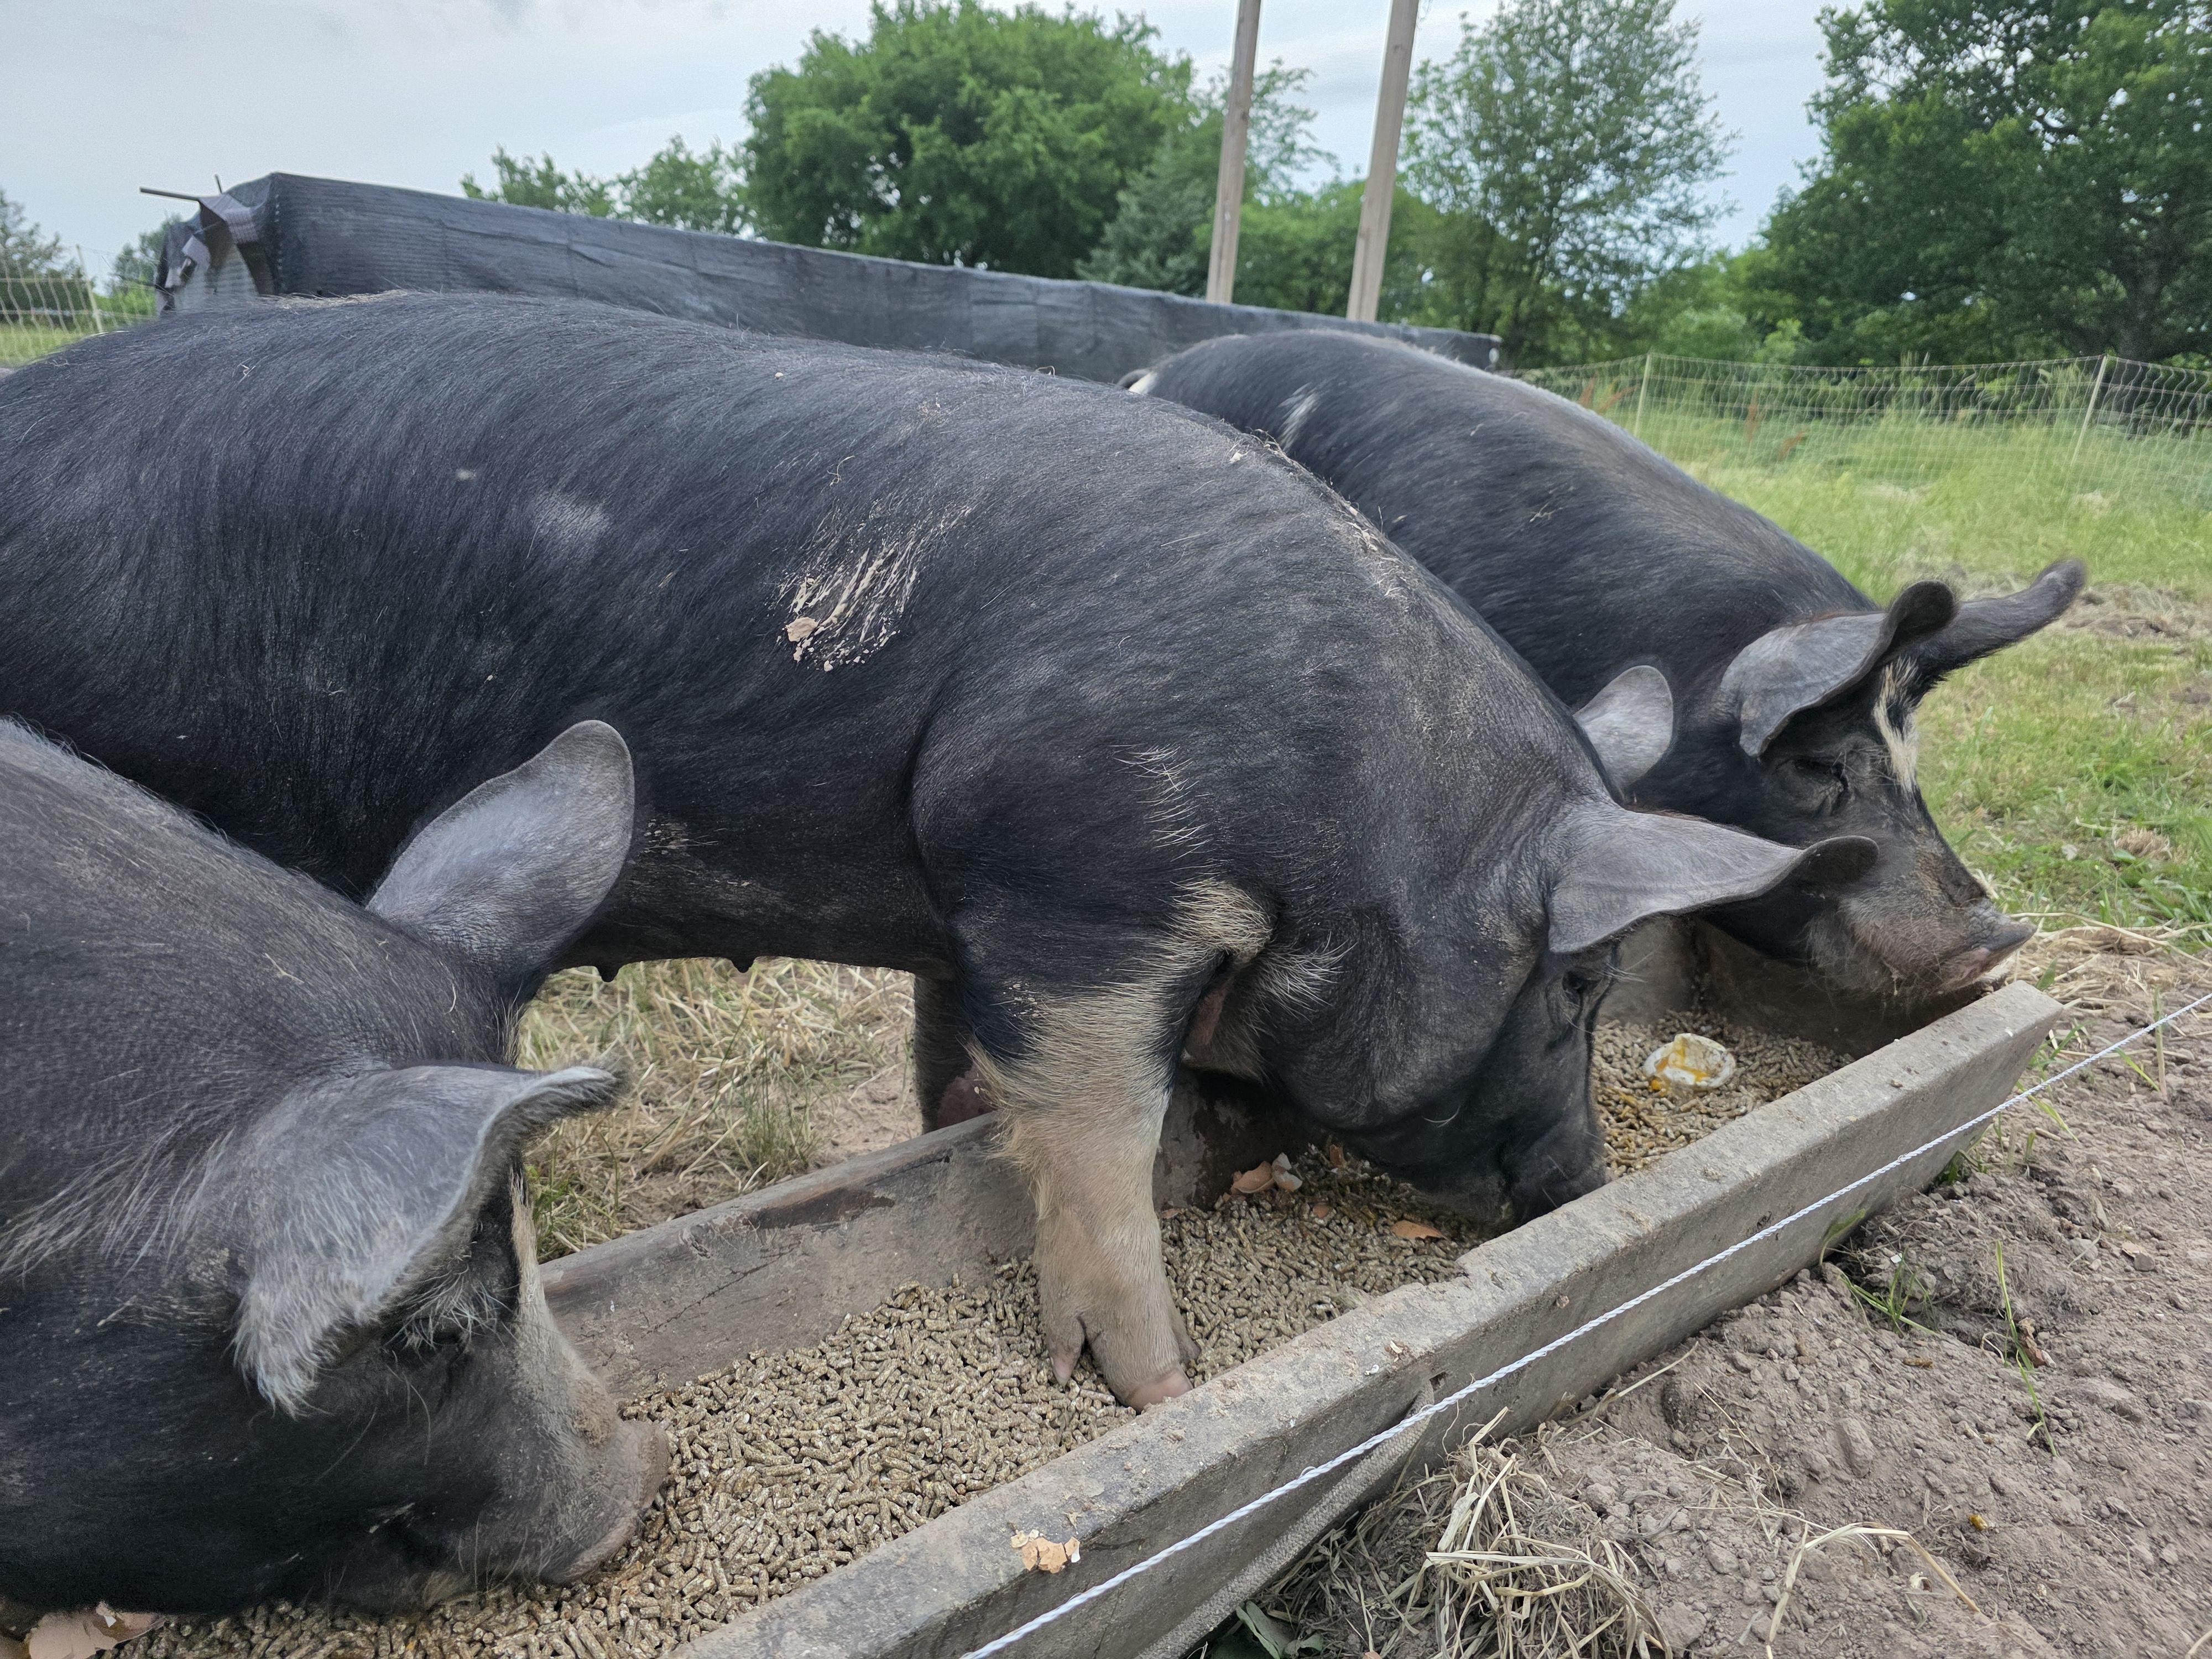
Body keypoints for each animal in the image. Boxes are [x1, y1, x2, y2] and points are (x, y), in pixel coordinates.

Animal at [0, 294, 1870, 1405]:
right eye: (1572, 985)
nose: (1587, 1178)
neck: (1363, 813)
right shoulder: (1078, 877)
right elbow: (1097, 1137)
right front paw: (1153, 1389)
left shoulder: (964, 924)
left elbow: (956, 1076)